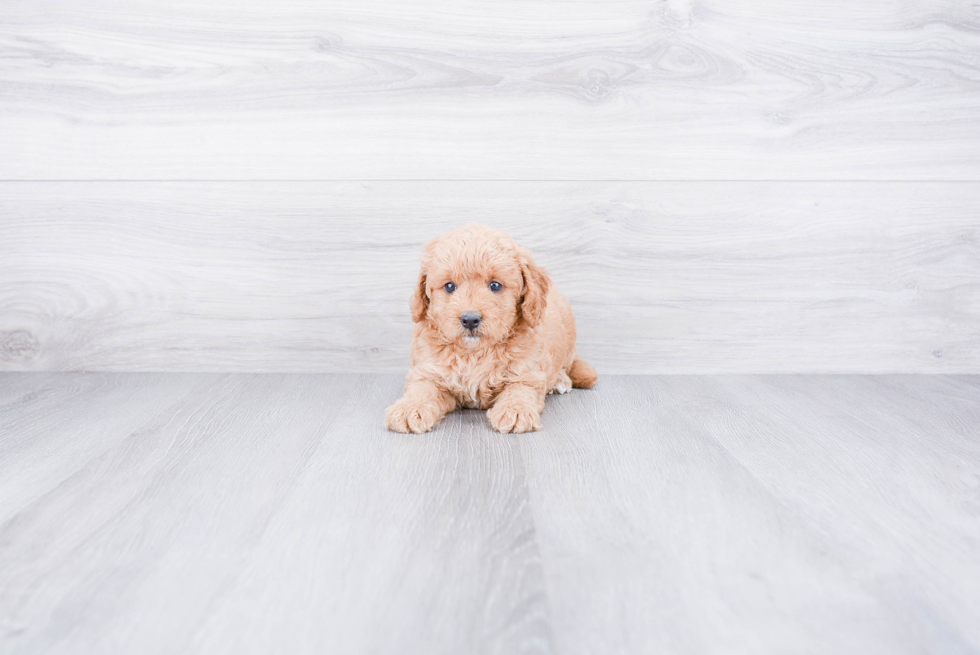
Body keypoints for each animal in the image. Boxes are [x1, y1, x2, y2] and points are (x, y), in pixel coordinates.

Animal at [384, 223, 596, 434]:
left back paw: (560, 380)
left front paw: (515, 410)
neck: (474, 353)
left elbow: (520, 389)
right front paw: (410, 408)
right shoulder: (428, 370)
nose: (470, 319)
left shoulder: (527, 372)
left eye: (495, 285)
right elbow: (422, 389)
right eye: (449, 286)